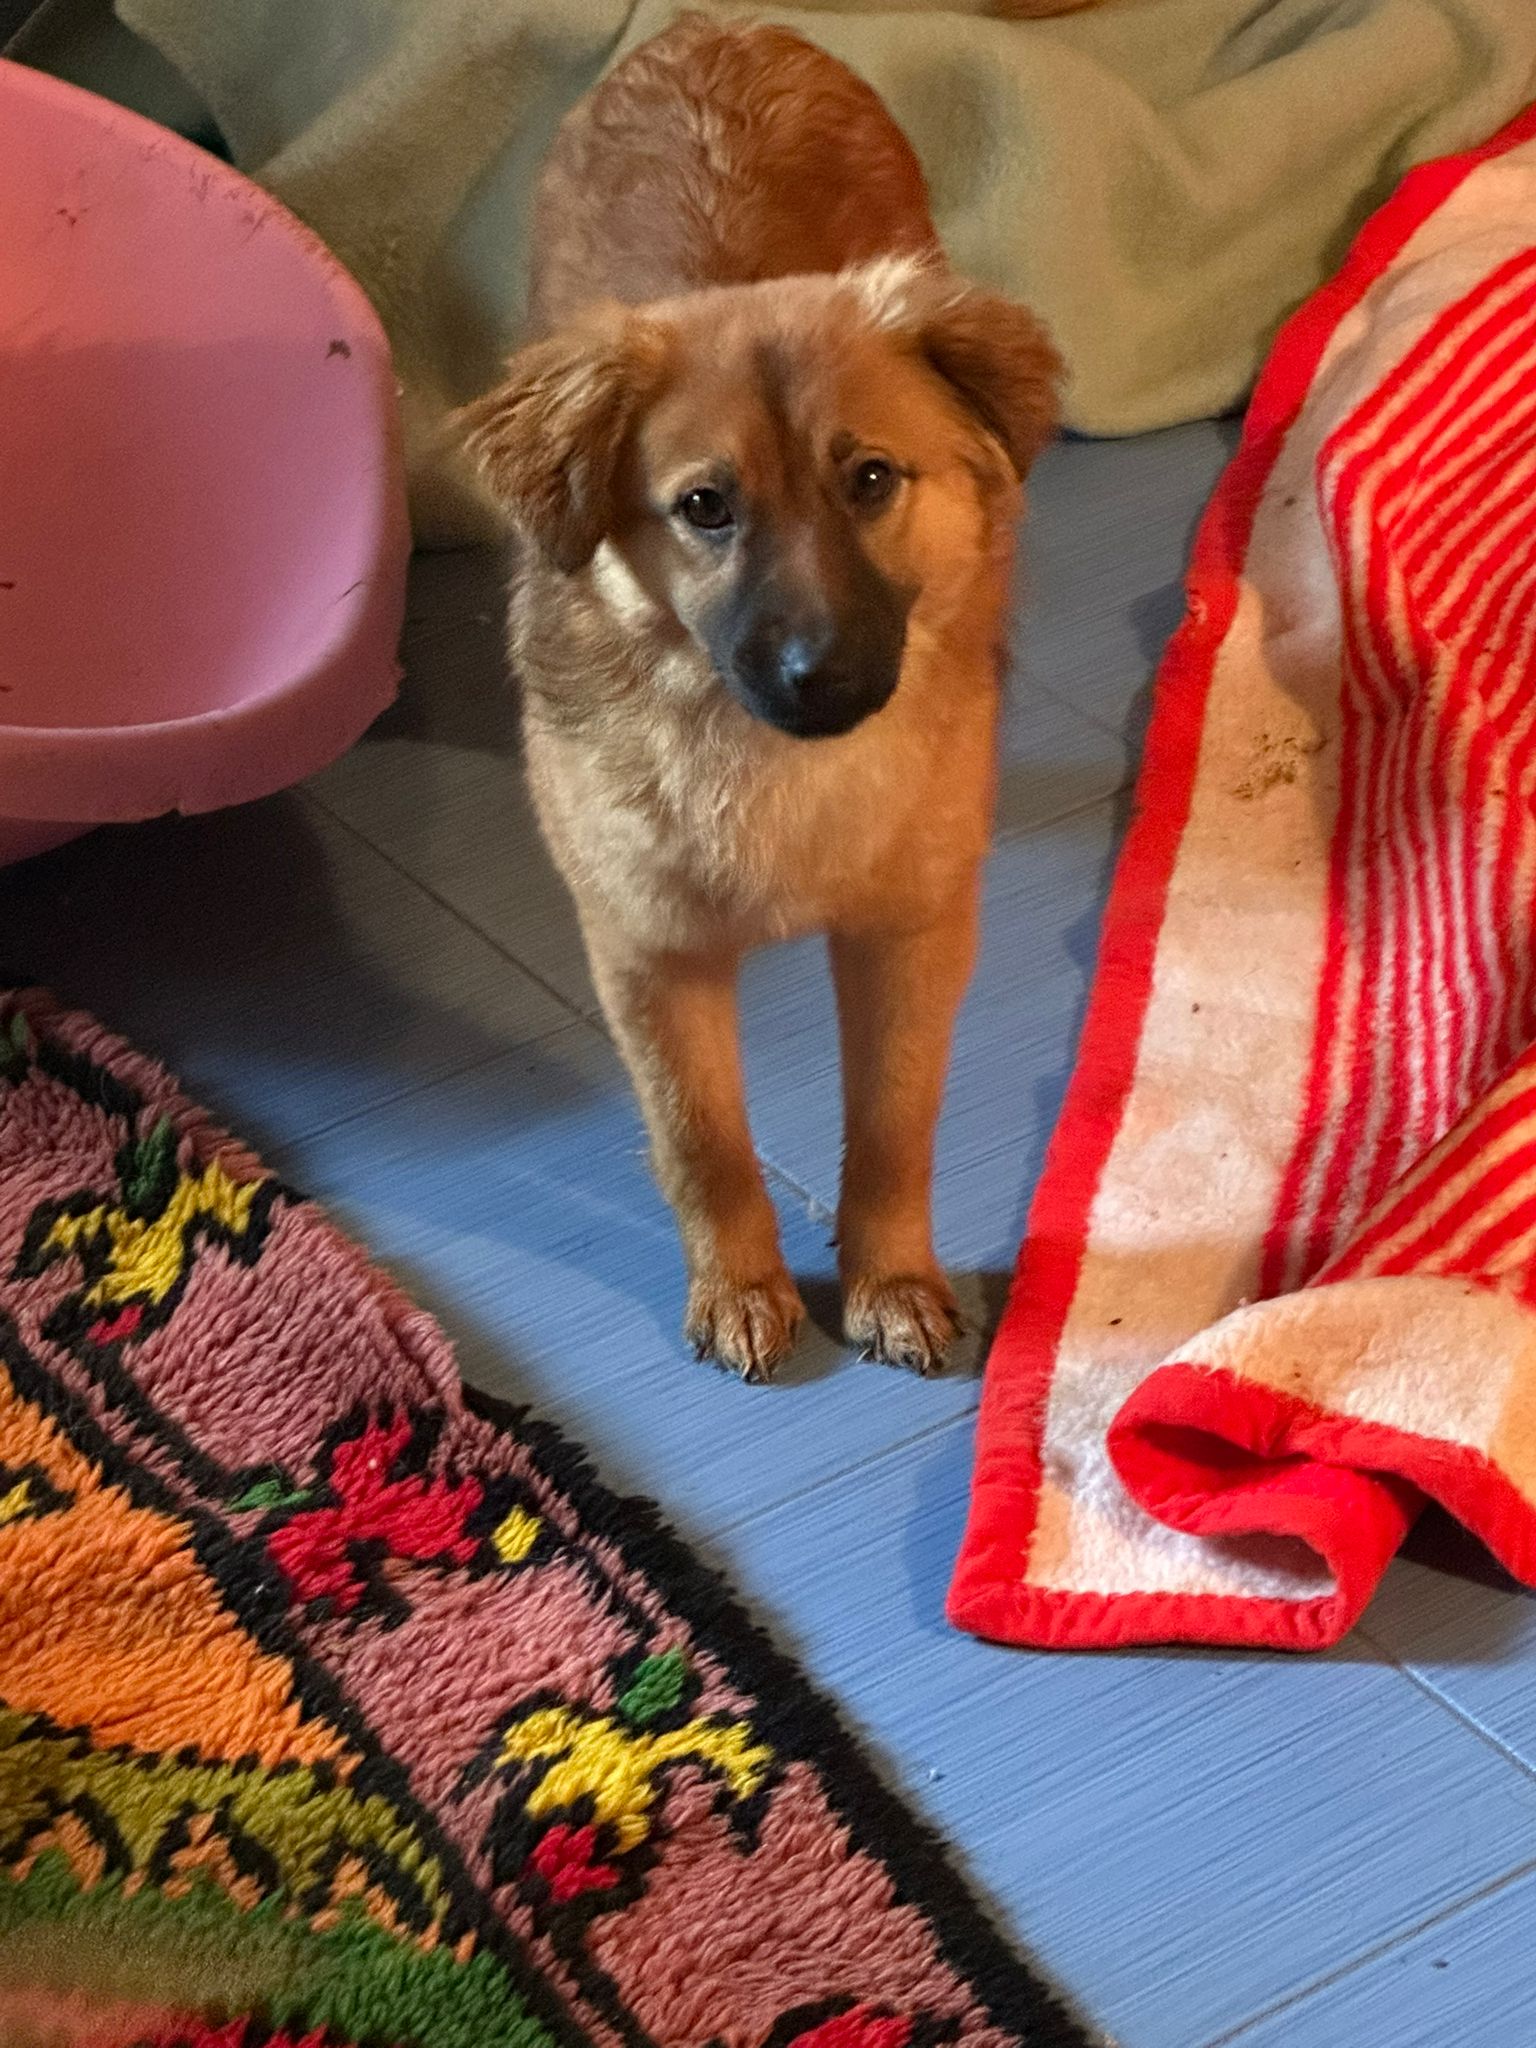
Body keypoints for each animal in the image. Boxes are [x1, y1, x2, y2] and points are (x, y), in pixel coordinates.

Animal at [460, 15, 1066, 1381]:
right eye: (705, 507)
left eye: (872, 479)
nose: (821, 673)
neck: (775, 773)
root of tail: (710, 29)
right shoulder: (647, 953)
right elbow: (704, 1139)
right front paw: (740, 1283)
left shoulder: (911, 933)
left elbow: (894, 1119)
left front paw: (891, 1277)